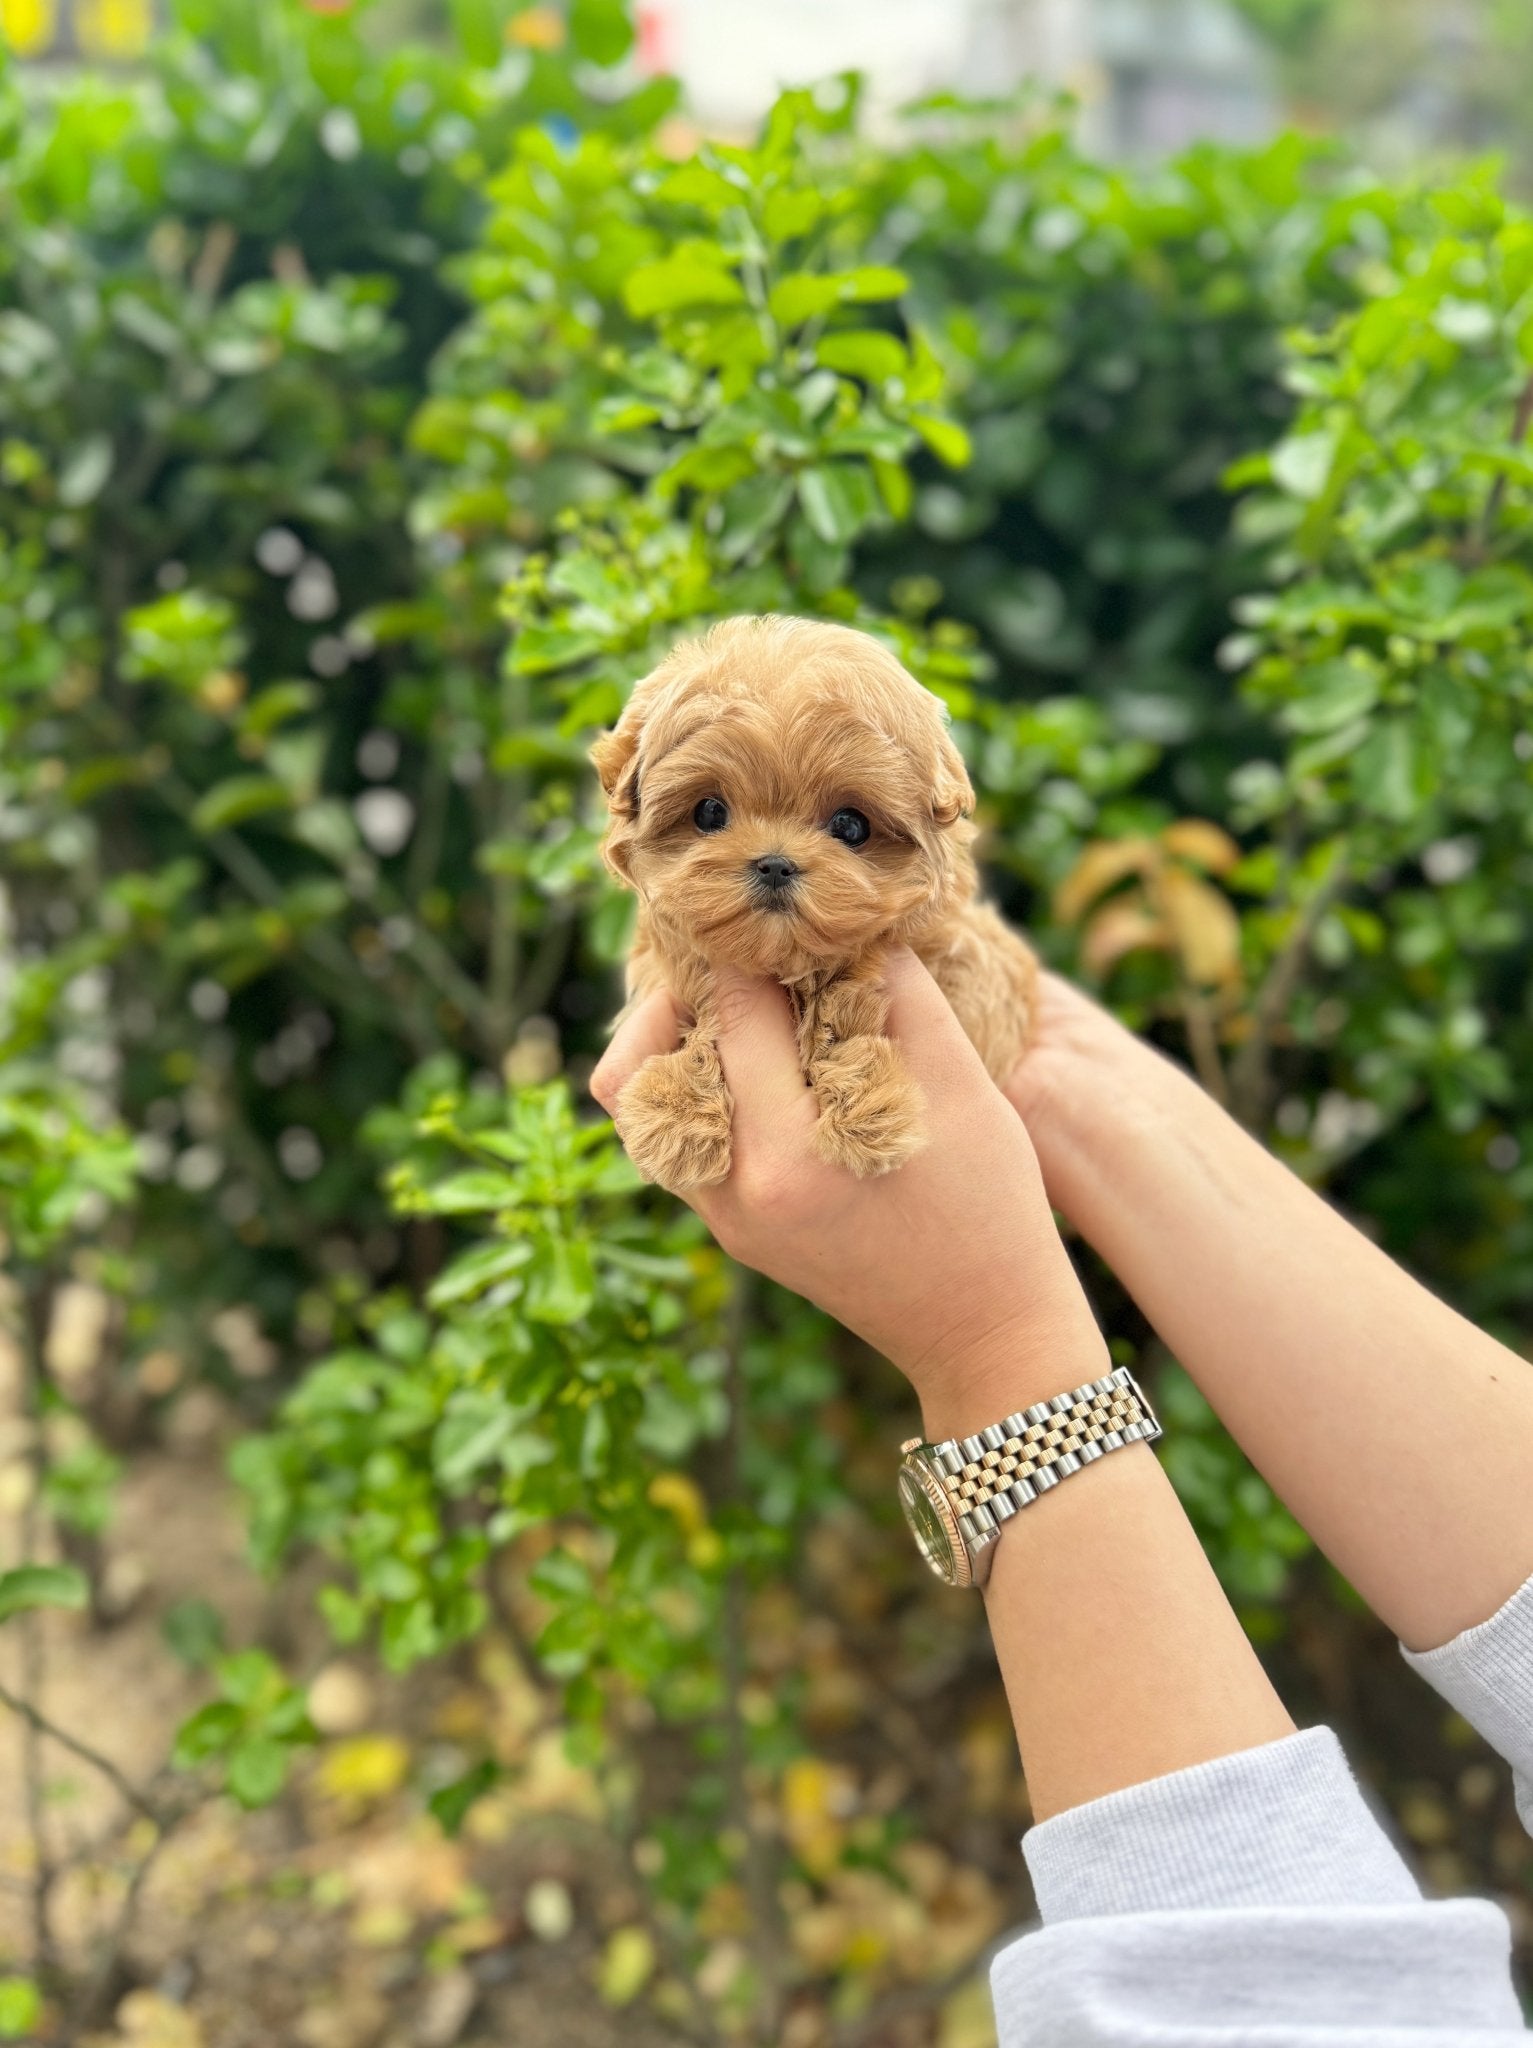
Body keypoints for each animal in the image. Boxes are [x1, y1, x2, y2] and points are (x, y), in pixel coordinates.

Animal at [593, 610, 1035, 1187]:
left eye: (850, 825)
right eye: (709, 812)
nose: (775, 863)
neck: (788, 967)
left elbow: (847, 1011)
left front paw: (867, 1109)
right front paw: (677, 1114)